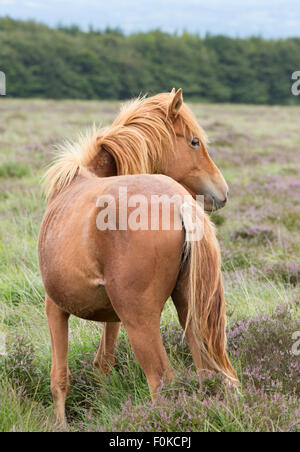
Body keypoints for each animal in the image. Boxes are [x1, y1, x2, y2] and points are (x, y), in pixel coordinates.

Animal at [39, 89, 237, 428]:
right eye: (194, 141)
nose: (222, 193)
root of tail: (179, 203)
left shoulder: (55, 307)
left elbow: (59, 377)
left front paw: (61, 425)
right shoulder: (112, 316)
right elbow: (103, 364)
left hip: (140, 322)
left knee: (160, 379)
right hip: (190, 312)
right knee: (208, 372)